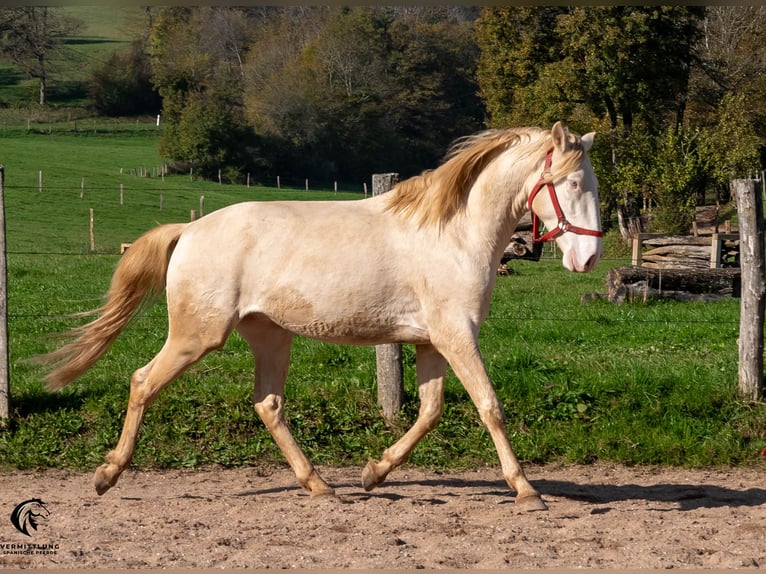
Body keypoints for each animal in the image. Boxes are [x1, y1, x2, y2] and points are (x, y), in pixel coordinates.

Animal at [40, 121, 608, 512]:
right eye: (573, 185)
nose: (589, 259)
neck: (452, 233)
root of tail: (189, 230)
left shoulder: (432, 342)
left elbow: (429, 412)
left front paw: (373, 473)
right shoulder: (456, 336)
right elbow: (490, 407)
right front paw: (527, 490)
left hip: (270, 337)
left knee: (267, 404)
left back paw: (320, 485)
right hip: (197, 336)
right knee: (142, 382)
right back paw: (107, 475)